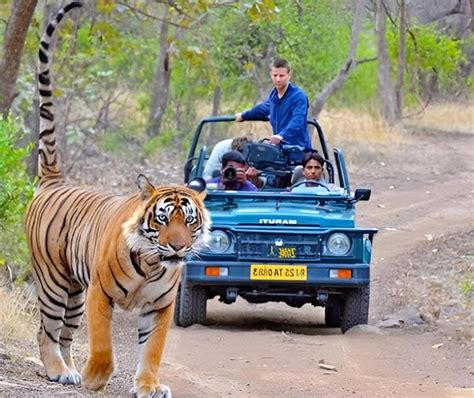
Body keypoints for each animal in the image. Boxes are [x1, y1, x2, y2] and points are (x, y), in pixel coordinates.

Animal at [25, 1, 209, 396]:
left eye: (189, 221)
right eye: (162, 219)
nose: (177, 248)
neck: (154, 263)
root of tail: (53, 182)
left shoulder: (160, 307)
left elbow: (152, 349)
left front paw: (149, 385)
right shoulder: (100, 294)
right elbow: (103, 343)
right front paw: (97, 377)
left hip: (74, 292)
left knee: (65, 334)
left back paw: (69, 369)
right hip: (54, 282)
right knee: (46, 330)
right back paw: (58, 370)